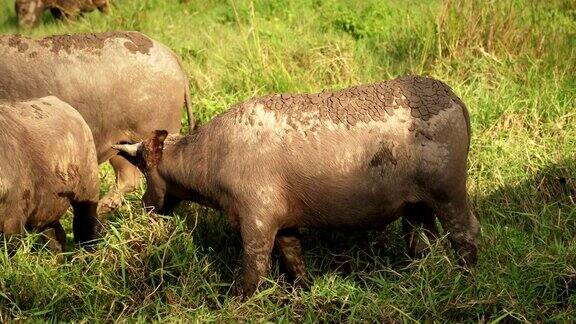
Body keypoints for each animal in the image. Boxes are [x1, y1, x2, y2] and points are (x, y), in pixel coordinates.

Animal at [115, 75, 480, 296]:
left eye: (143, 166)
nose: (146, 204)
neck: (212, 160)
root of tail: (454, 98)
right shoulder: (285, 220)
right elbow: (293, 256)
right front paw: (303, 291)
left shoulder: (257, 217)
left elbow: (254, 269)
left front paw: (232, 301)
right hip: (417, 204)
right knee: (424, 241)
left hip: (449, 189)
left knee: (466, 233)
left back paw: (466, 279)